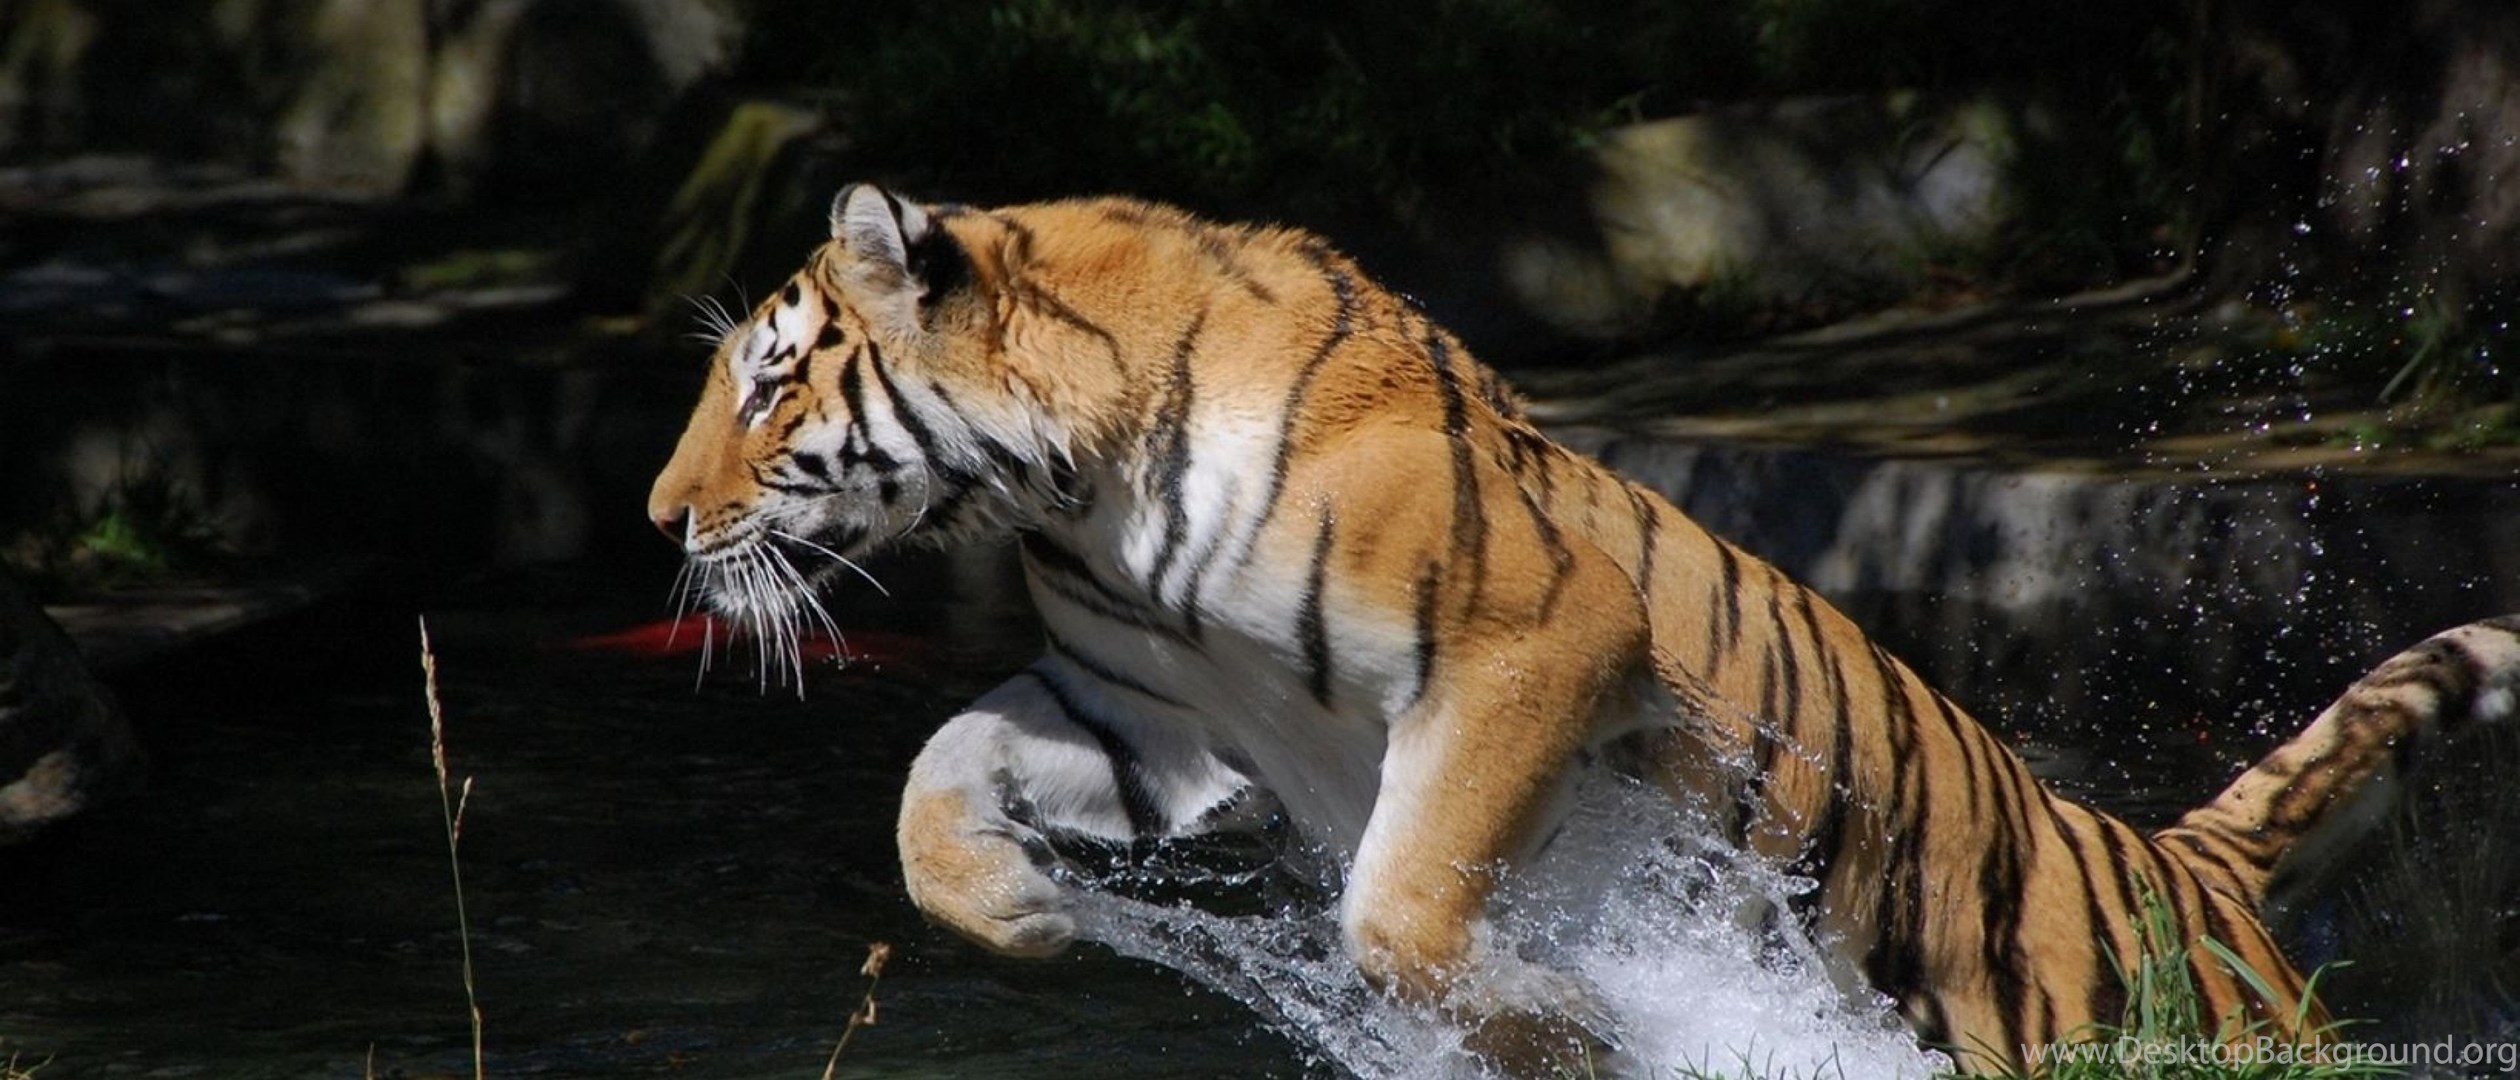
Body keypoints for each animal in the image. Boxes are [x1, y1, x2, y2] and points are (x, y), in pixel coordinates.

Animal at [644, 182, 2520, 1074]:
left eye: (767, 381)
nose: (663, 521)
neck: (1073, 489)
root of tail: (2188, 863)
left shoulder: (1535, 643)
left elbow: (1402, 912)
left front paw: (1576, 1038)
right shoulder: (1143, 708)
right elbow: (930, 789)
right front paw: (1024, 912)